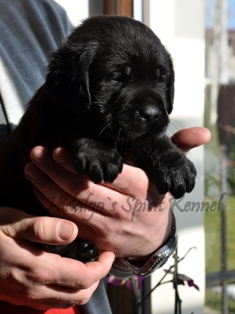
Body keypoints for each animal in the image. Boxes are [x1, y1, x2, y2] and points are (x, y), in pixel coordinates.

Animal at [0, 15, 196, 260]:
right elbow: (69, 124)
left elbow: (153, 138)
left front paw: (174, 163)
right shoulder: (42, 126)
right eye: (117, 78)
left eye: (161, 79)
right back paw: (79, 248)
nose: (151, 114)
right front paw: (99, 153)